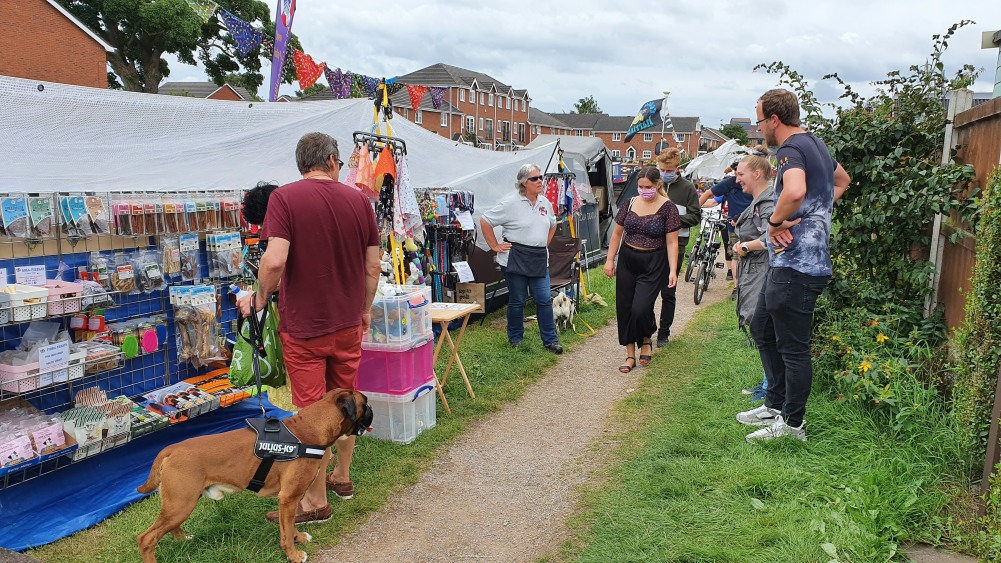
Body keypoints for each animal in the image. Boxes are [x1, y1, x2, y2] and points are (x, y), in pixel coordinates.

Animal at [137, 388, 376, 560]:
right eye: (365, 403)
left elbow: (290, 526)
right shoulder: (288, 499)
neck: (310, 427)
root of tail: (173, 448)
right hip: (181, 503)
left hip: (179, 503)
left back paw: (182, 538)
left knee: (169, 528)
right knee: (146, 539)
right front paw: (293, 555)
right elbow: (286, 533)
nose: (372, 408)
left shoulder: (290, 501)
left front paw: (299, 538)